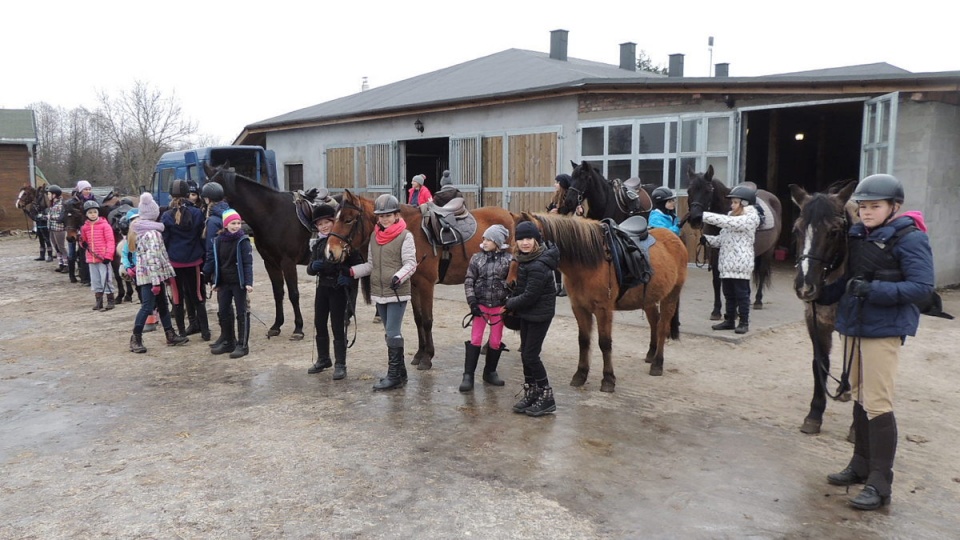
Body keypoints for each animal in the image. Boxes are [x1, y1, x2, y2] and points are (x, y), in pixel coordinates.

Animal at [204, 162, 314, 340]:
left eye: (219, 192)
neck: (272, 215)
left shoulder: (288, 262)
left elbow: (293, 293)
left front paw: (298, 328)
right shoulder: (270, 263)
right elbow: (278, 293)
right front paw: (276, 325)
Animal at [322, 188, 516, 370]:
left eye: (348, 219)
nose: (330, 252)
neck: (410, 232)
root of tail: (510, 215)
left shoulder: (426, 285)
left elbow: (428, 320)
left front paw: (428, 357)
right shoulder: (412, 285)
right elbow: (418, 319)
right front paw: (419, 354)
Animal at [510, 212, 688, 392]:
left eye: (527, 241)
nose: (511, 283)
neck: (587, 262)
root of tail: (675, 238)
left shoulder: (603, 310)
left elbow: (605, 343)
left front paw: (608, 379)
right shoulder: (579, 308)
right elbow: (583, 340)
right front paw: (580, 374)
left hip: (670, 296)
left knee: (662, 327)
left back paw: (658, 363)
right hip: (648, 299)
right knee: (654, 322)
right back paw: (651, 353)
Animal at [680, 167, 784, 318]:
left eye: (708, 190)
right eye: (689, 190)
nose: (695, 219)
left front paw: (733, 311)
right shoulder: (714, 251)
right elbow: (717, 280)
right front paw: (716, 310)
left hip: (768, 250)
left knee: (762, 272)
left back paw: (758, 301)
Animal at [792, 180, 860, 434]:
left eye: (834, 232)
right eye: (796, 230)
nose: (805, 286)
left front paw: (857, 427)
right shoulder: (816, 322)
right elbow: (820, 364)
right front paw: (814, 414)